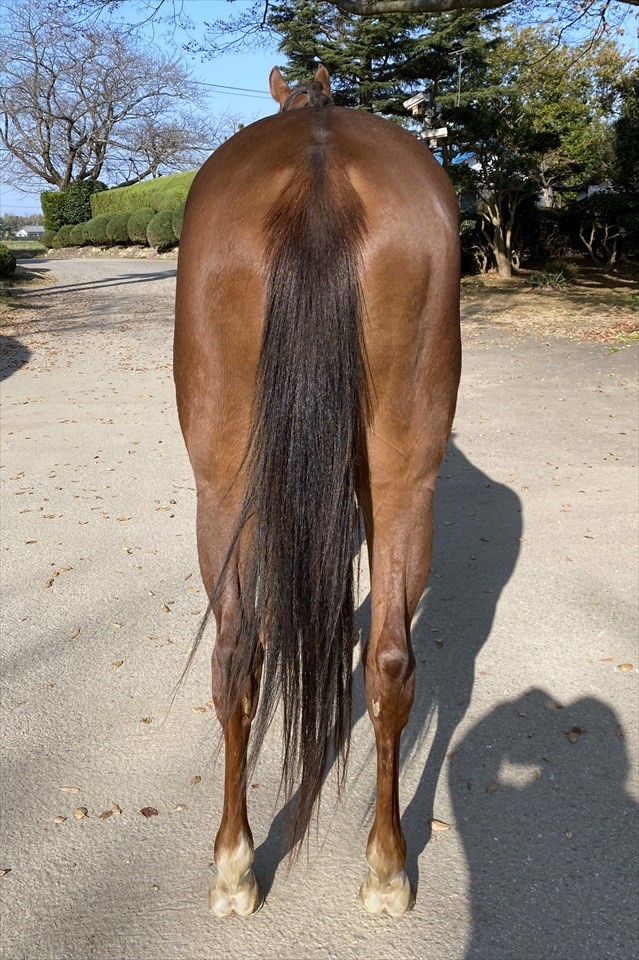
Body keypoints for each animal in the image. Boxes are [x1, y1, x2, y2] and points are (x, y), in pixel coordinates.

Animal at [173, 64, 461, 918]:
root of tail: (319, 170)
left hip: (219, 485)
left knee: (237, 654)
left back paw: (234, 866)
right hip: (403, 478)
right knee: (386, 662)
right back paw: (387, 868)